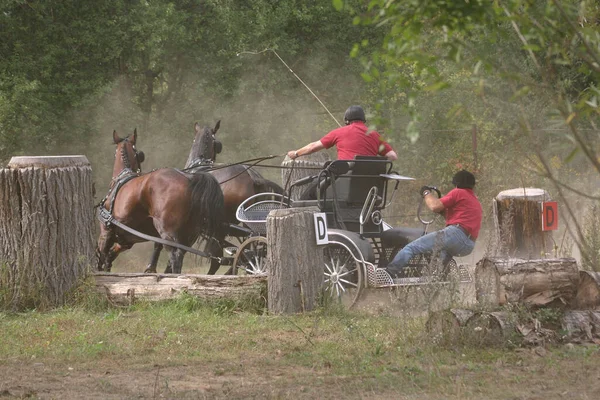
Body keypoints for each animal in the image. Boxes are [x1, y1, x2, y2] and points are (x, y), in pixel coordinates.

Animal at [98, 130, 225, 274]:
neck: (122, 176)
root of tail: (190, 179)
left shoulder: (105, 233)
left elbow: (101, 257)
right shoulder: (126, 240)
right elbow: (110, 256)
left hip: (167, 231)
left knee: (175, 257)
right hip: (189, 234)